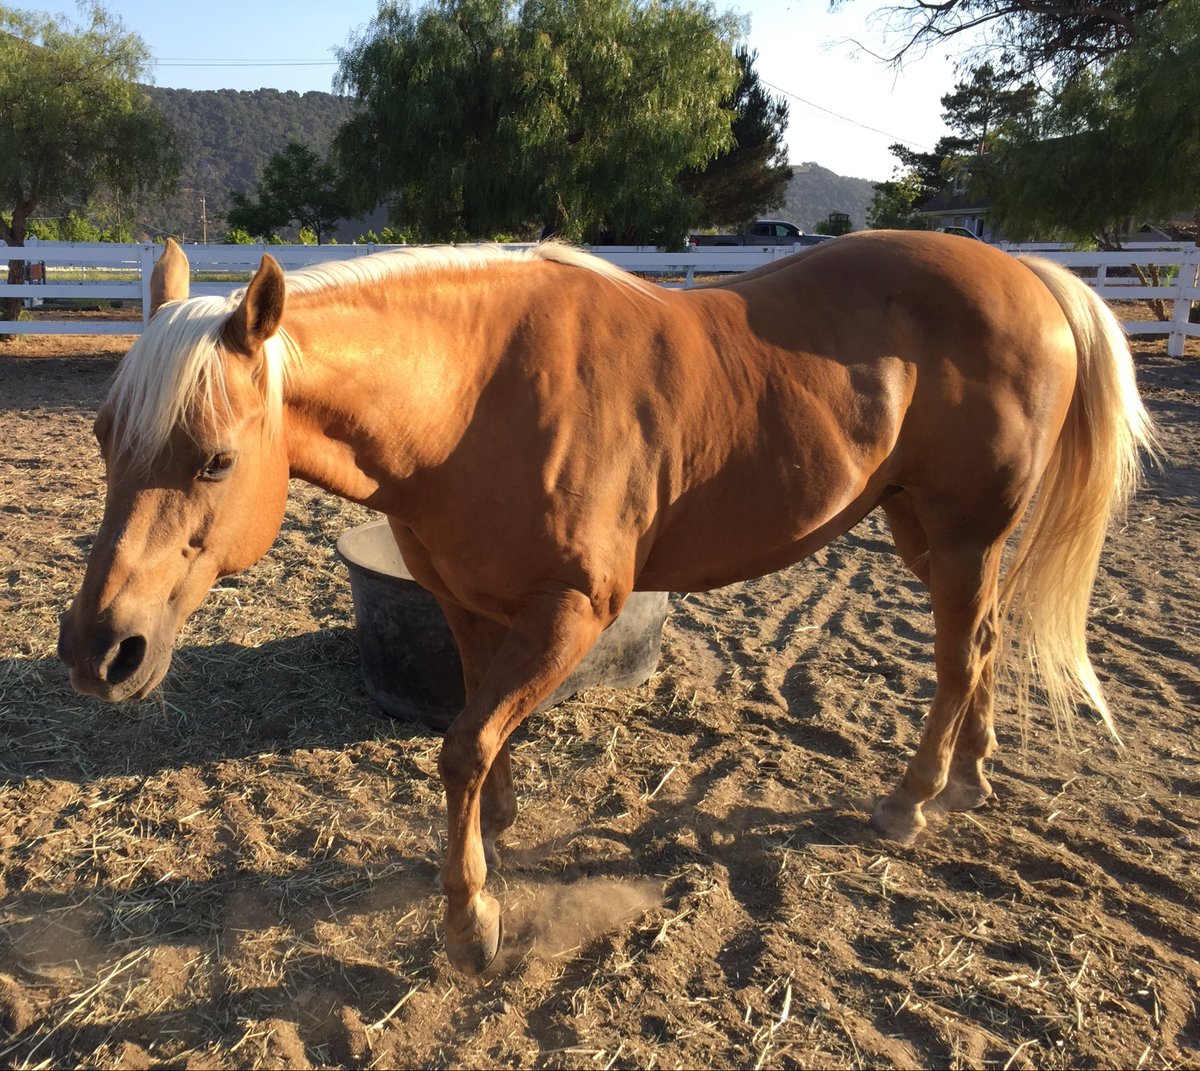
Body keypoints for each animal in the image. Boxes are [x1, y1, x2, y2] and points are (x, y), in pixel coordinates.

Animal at [57, 232, 1154, 974]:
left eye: (215, 459)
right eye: (106, 438)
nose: (100, 650)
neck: (474, 395)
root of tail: (1032, 277)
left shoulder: (575, 609)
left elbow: (462, 744)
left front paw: (472, 919)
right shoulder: (466, 603)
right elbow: (478, 736)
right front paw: (495, 835)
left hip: (961, 536)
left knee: (959, 659)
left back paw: (911, 800)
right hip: (926, 534)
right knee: (985, 642)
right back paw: (970, 778)